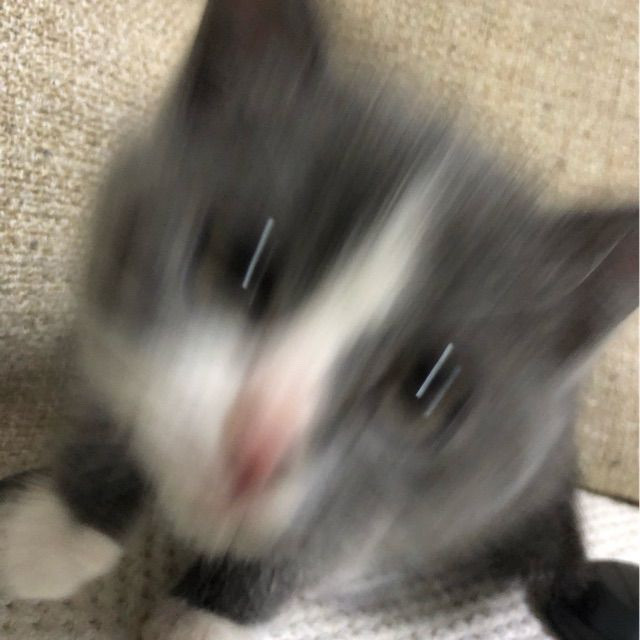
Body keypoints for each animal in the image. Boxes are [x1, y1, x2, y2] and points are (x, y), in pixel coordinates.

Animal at [0, 1, 637, 639]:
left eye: (425, 396)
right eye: (237, 265)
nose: (257, 448)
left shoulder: (410, 514)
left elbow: (326, 545)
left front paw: (209, 615)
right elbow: (113, 396)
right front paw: (56, 532)